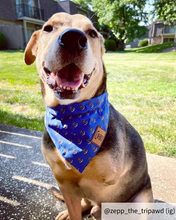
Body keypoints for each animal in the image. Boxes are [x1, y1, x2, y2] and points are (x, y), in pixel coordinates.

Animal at [24, 12, 153, 220]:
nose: (73, 39)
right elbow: (74, 200)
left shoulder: (105, 187)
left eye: (92, 33)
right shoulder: (63, 180)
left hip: (141, 202)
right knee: (84, 203)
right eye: (48, 28)